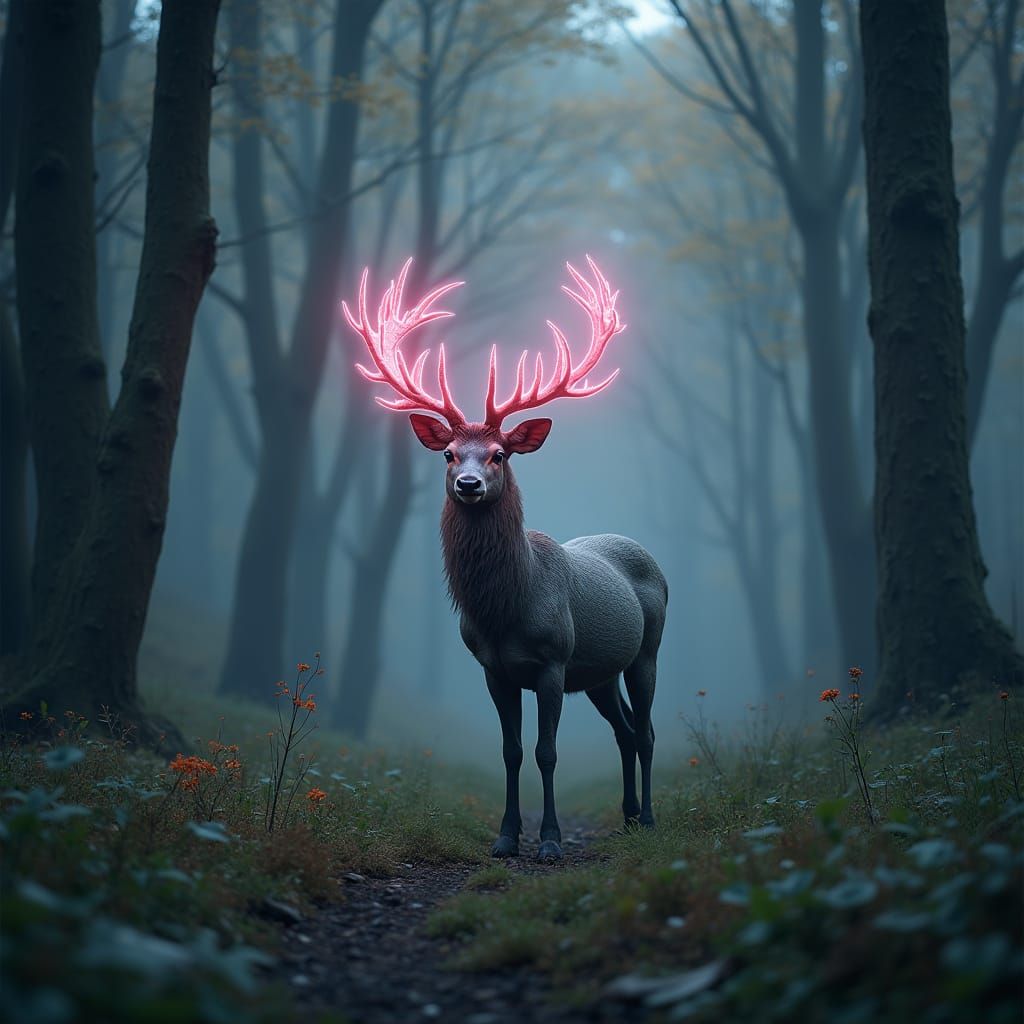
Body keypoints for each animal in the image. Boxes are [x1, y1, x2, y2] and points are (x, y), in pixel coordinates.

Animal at [343, 256, 667, 862]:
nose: (468, 484)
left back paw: (652, 818)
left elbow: (546, 752)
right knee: (624, 730)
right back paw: (630, 814)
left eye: (499, 454)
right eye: (449, 454)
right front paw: (506, 837)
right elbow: (511, 752)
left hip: (647, 649)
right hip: (599, 671)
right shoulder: (494, 668)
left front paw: (551, 841)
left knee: (647, 730)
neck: (506, 609)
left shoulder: (553, 661)